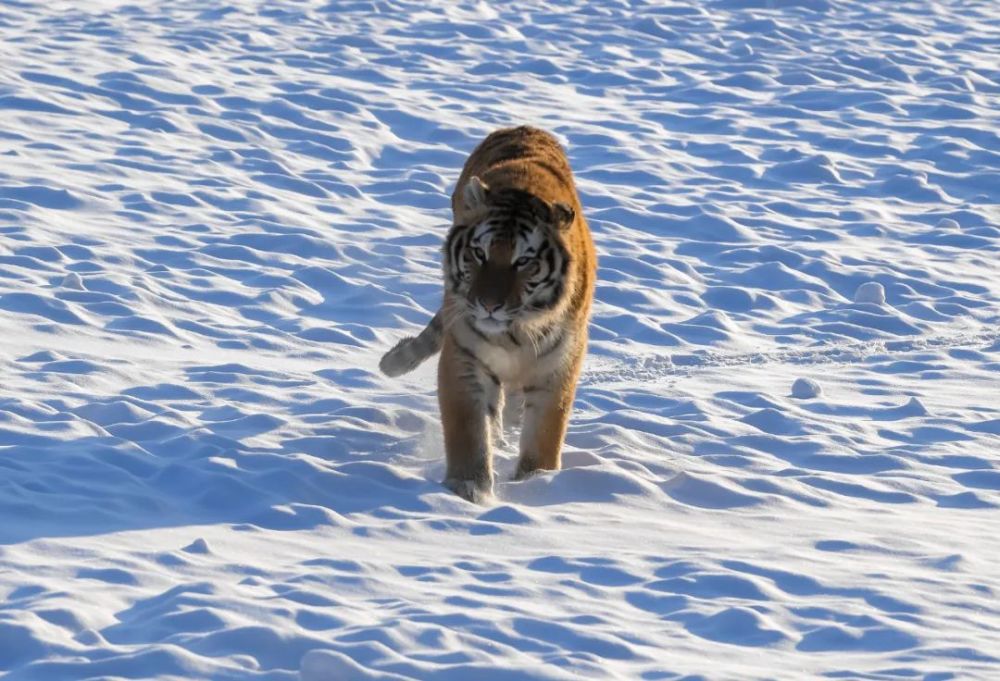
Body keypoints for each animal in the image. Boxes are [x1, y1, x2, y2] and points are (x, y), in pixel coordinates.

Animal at [376, 125, 592, 502]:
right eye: (479, 253)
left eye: (523, 261)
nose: (489, 305)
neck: (514, 332)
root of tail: (524, 128)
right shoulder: (464, 356)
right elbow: (469, 429)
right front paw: (469, 490)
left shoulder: (559, 363)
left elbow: (545, 433)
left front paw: (537, 482)